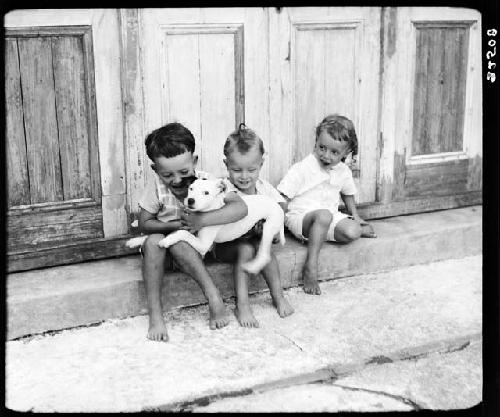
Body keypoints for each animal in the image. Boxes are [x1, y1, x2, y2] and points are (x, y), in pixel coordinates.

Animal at [156, 178, 288, 272]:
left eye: (206, 193)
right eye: (191, 189)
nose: (190, 200)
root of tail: (277, 206)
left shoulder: (203, 244)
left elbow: (185, 234)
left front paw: (166, 241)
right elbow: (183, 232)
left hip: (269, 227)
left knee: (264, 255)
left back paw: (253, 267)